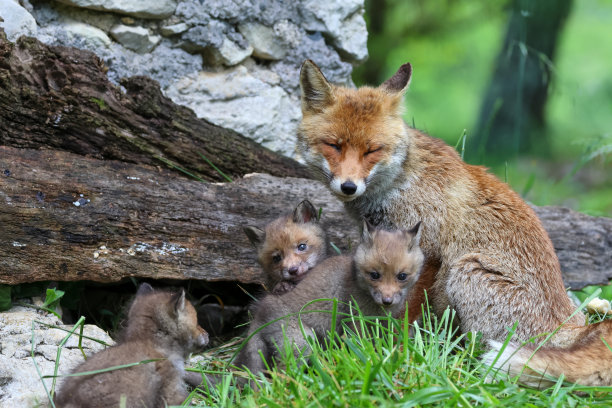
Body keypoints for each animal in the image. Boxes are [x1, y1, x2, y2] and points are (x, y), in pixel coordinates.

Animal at [296, 59, 612, 388]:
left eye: (372, 150)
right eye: (333, 145)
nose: (349, 187)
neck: (399, 183)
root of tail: (568, 329)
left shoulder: (425, 252)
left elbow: (404, 314)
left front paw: (395, 351)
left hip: (466, 270)